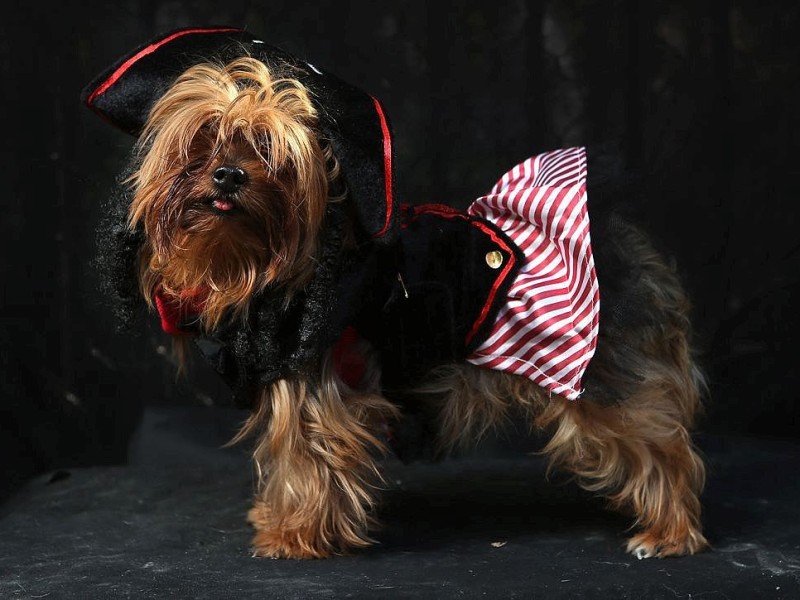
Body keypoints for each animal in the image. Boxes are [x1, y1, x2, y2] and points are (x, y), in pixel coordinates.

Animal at [83, 27, 708, 564]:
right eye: (204, 140)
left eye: (270, 152)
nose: (228, 175)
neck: (254, 262)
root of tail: (613, 235)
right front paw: (280, 521)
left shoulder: (315, 381)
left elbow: (309, 457)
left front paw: (296, 537)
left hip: (597, 377)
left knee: (659, 442)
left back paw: (670, 532)